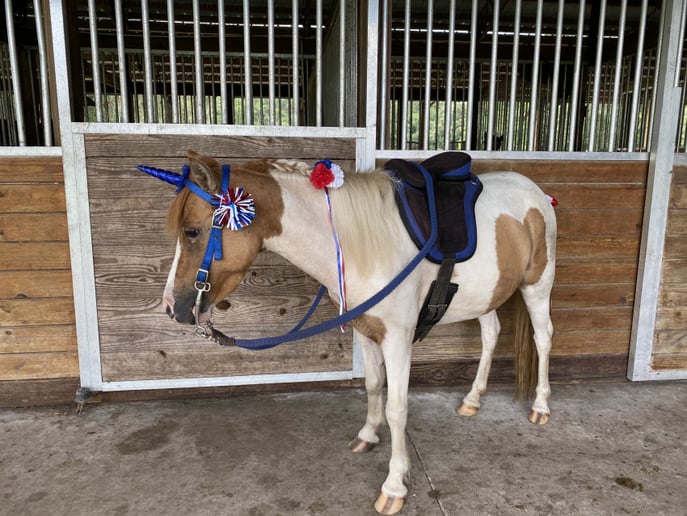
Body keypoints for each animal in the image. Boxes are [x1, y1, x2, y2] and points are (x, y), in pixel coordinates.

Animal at [139, 150, 557, 515]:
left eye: (193, 231)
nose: (172, 307)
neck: (364, 245)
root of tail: (537, 193)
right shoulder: (366, 331)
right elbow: (372, 387)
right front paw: (367, 436)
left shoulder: (397, 340)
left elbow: (397, 408)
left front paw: (394, 486)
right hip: (486, 296)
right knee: (491, 334)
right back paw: (472, 399)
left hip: (537, 287)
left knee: (543, 337)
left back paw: (540, 407)